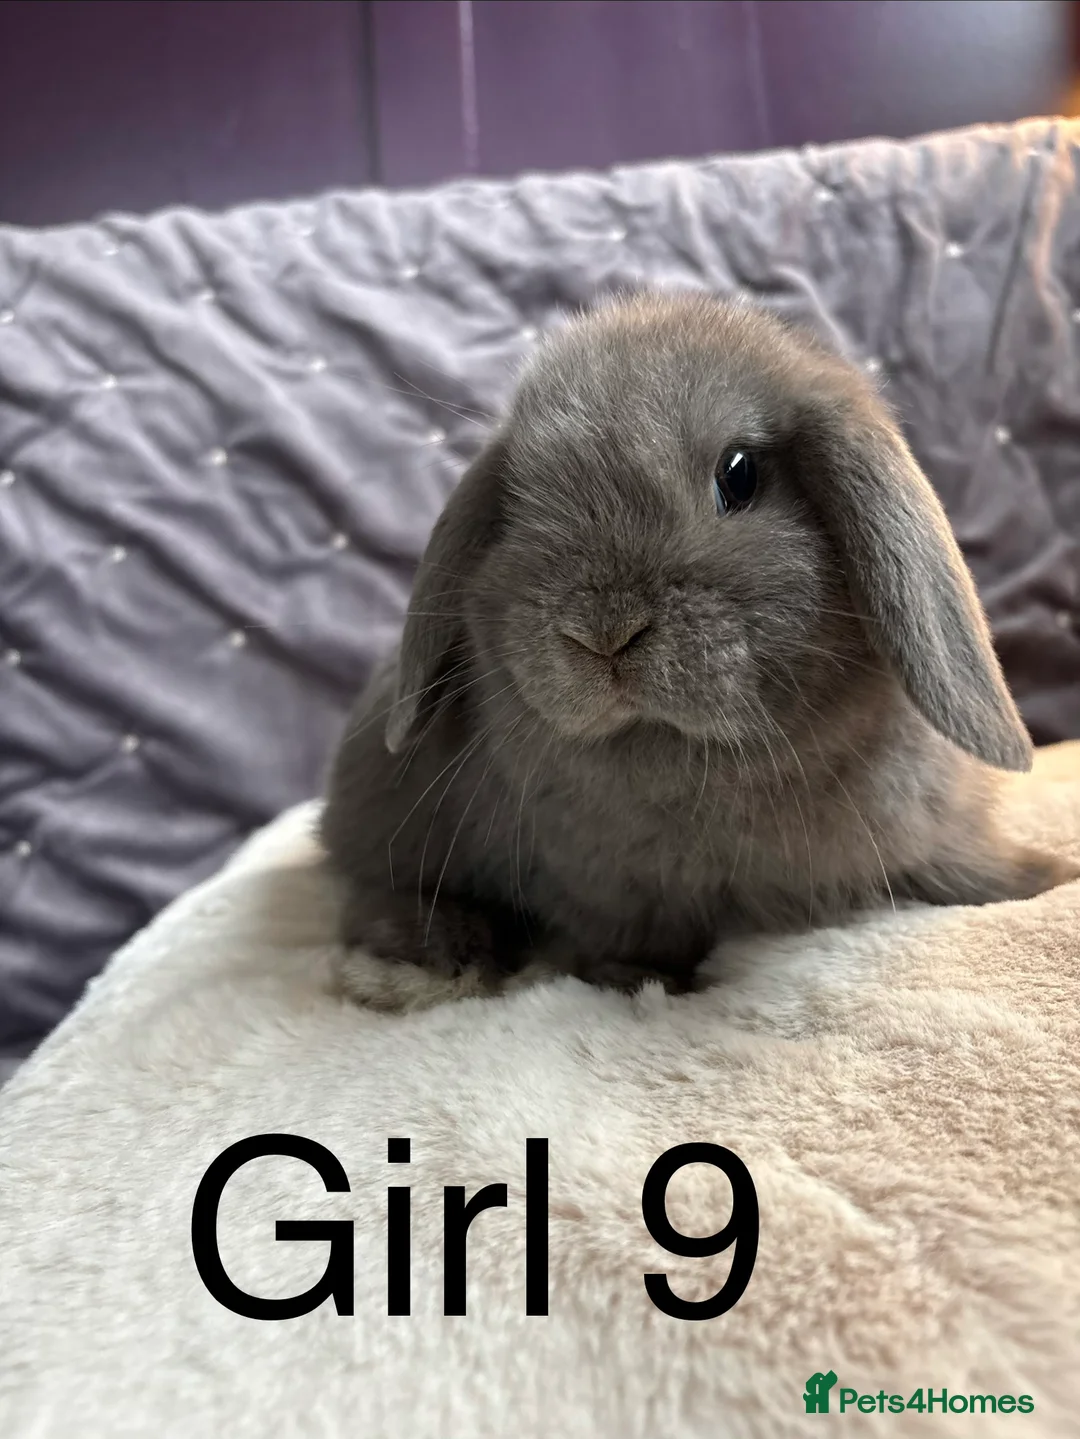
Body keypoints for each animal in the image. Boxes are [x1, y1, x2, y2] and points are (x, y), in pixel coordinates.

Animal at [320, 291, 1078, 998]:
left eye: (738, 475)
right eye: (512, 504)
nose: (603, 631)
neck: (705, 764)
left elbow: (960, 866)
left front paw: (1047, 875)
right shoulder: (604, 886)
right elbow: (628, 935)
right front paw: (635, 978)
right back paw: (437, 954)